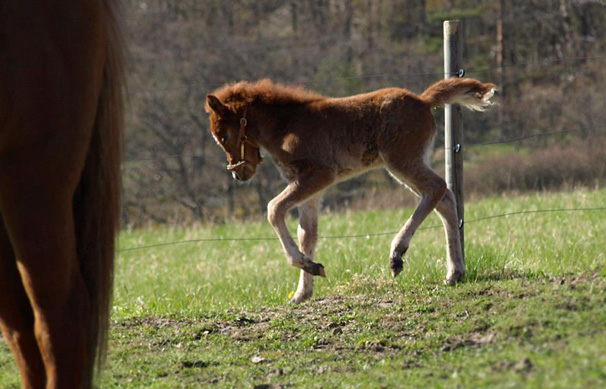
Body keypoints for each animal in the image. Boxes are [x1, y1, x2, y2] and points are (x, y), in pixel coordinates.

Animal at [207, 78, 496, 304]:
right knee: (444, 199)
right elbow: (307, 235)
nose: (238, 173)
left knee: (437, 189)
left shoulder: (319, 175)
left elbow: (273, 209)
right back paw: (454, 273)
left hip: (401, 161)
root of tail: (423, 101)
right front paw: (304, 288)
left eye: (223, 136)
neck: (286, 126)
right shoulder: (309, 190)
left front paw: (305, 265)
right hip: (409, 161)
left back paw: (397, 254)